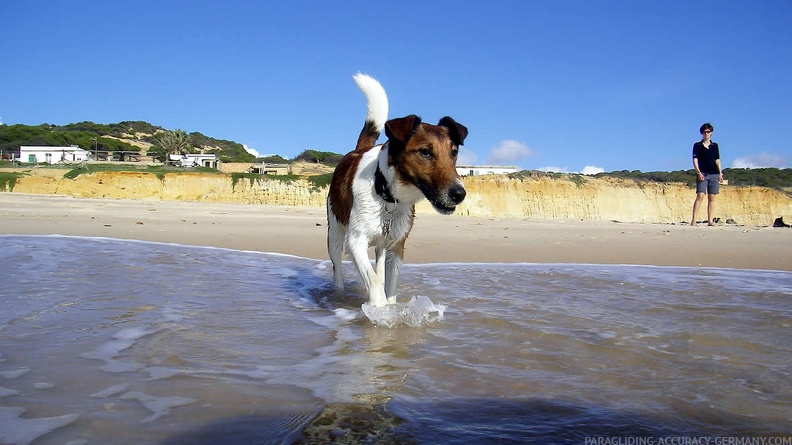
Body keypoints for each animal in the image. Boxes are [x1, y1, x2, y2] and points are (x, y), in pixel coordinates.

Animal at [324, 74, 468, 306]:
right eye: (425, 152)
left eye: (454, 152)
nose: (459, 194)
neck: (387, 196)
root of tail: (359, 149)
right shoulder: (356, 241)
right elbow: (374, 282)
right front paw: (379, 309)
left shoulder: (397, 246)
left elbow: (389, 286)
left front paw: (392, 310)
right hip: (335, 233)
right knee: (337, 269)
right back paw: (338, 294)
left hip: (382, 246)